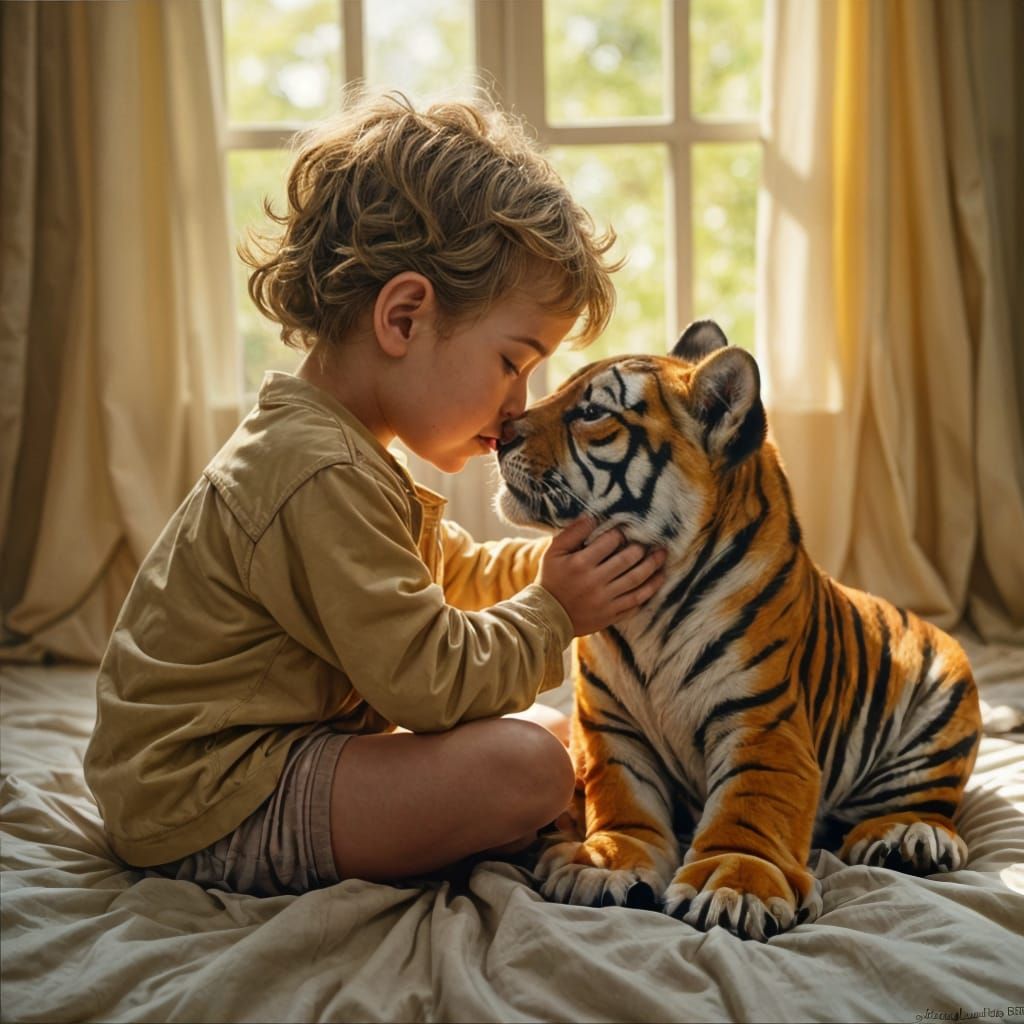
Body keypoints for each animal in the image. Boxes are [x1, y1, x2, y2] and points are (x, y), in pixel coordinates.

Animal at [495, 319, 982, 941]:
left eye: (591, 412)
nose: (499, 435)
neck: (651, 611)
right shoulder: (609, 723)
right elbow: (621, 795)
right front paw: (606, 862)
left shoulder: (762, 723)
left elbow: (748, 805)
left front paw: (732, 886)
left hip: (944, 705)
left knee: (928, 802)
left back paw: (906, 838)